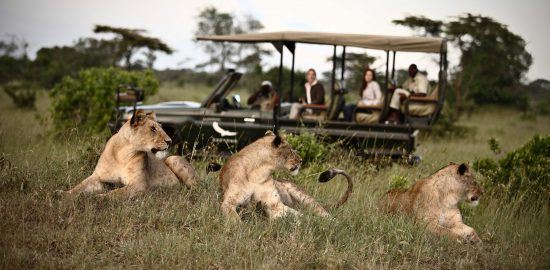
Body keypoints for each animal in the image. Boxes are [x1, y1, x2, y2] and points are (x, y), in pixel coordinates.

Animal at [57, 109, 199, 198]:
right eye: (153, 129)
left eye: (161, 128)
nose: (169, 141)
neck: (123, 154)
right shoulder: (98, 178)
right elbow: (79, 186)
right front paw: (62, 193)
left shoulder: (138, 186)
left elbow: (114, 194)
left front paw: (95, 198)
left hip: (173, 159)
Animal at [217, 131, 354, 221]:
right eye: (291, 150)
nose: (301, 160)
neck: (258, 173)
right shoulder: (228, 202)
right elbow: (235, 218)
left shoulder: (275, 204)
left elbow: (299, 216)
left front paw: (308, 223)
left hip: (304, 197)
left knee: (326, 216)